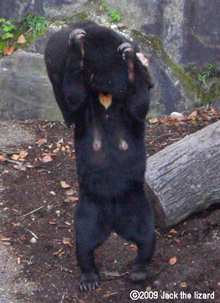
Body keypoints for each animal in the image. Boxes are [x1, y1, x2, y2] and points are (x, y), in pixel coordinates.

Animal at [44, 19, 155, 292]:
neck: (106, 100)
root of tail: (114, 224)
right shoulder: (85, 113)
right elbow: (74, 95)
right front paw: (78, 42)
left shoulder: (130, 117)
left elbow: (138, 103)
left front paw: (128, 56)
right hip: (90, 208)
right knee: (84, 241)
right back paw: (89, 278)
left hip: (137, 203)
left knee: (146, 235)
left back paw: (139, 270)